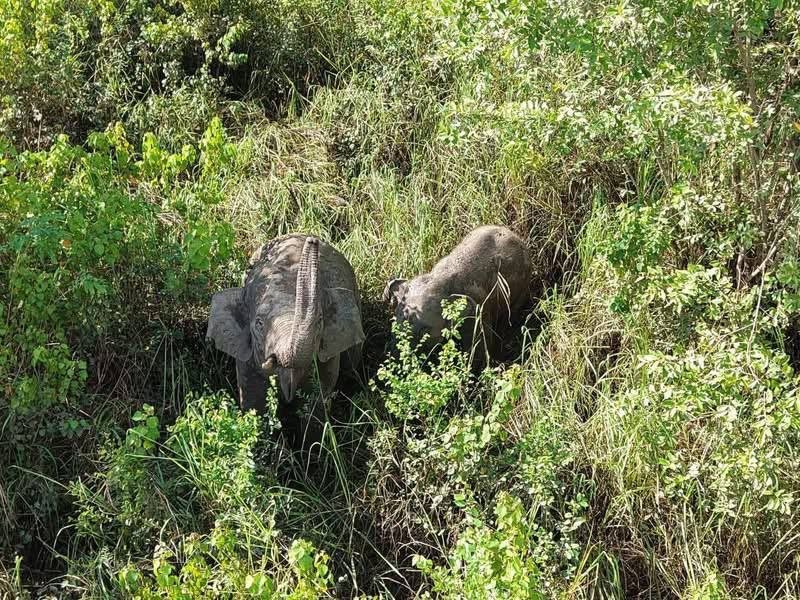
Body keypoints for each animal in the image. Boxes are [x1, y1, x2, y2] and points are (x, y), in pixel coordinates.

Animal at [207, 234, 365, 415]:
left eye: (319, 322)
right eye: (259, 324)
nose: (312, 240)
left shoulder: (329, 354)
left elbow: (316, 401)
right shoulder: (246, 357)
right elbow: (254, 400)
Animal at [383, 225, 531, 354]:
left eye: (424, 331)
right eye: (397, 320)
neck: (440, 279)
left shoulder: (478, 310)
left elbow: (479, 345)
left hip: (522, 289)